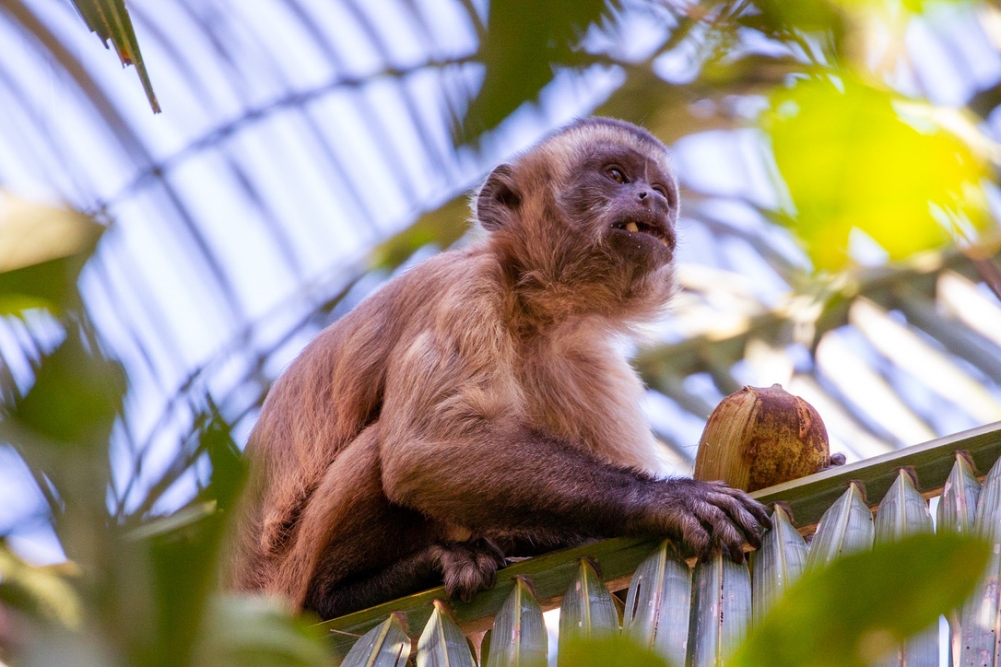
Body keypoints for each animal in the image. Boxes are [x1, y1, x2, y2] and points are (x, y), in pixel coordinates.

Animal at [229, 115, 772, 616]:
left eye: (659, 190)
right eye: (615, 175)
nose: (649, 199)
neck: (532, 310)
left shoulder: (589, 360)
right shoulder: (466, 289)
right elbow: (425, 448)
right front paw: (664, 502)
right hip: (290, 574)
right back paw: (345, 593)